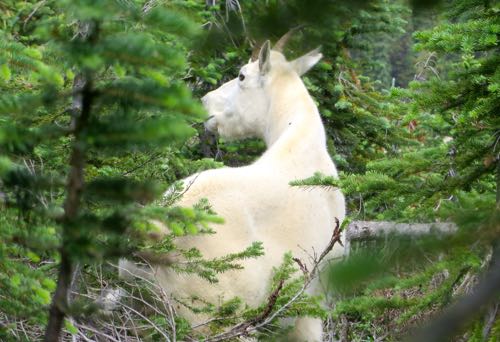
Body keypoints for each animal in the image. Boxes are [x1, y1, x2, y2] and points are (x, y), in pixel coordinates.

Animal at [123, 39, 346, 340]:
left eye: (241, 76)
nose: (205, 101)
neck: (300, 140)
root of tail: (159, 232)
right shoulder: (311, 301)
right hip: (215, 316)